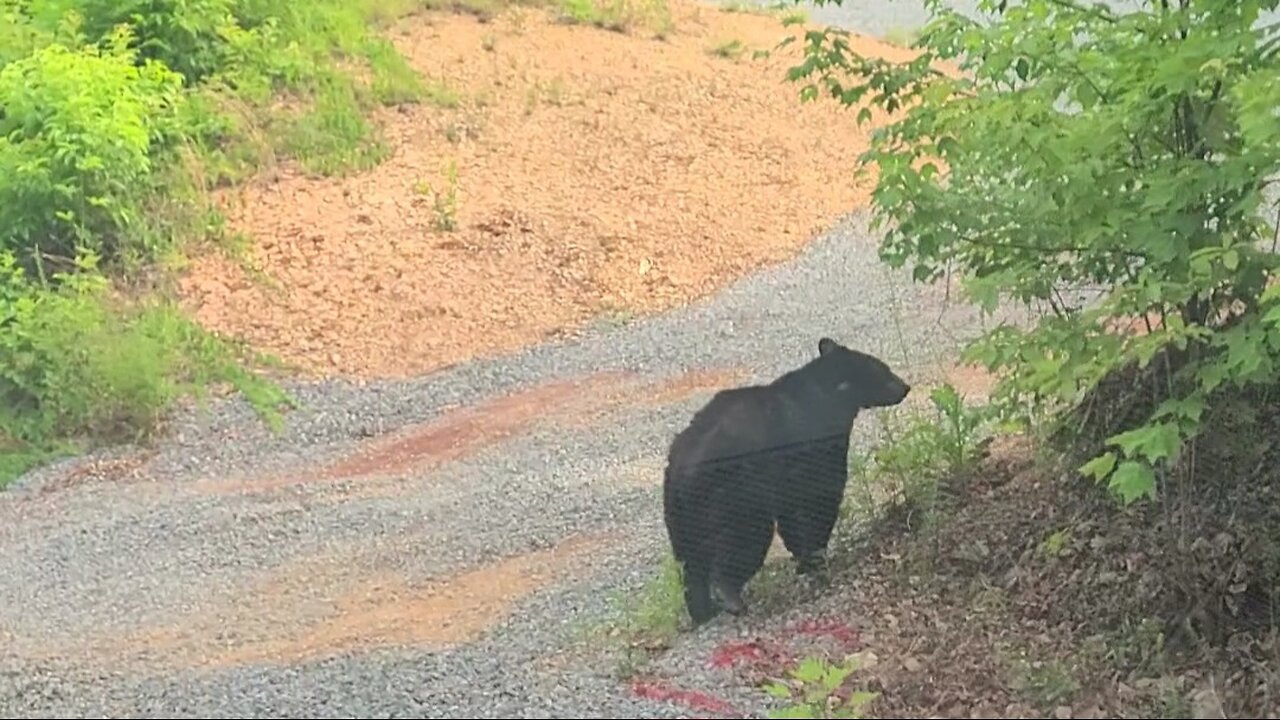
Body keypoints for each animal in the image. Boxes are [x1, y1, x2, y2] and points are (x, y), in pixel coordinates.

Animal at [660, 335, 911, 622]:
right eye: (884, 370)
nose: (905, 386)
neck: (830, 393)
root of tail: (682, 468)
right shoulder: (816, 445)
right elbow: (820, 497)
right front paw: (815, 557)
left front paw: (805, 560)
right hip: (735, 494)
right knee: (744, 537)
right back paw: (729, 596)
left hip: (681, 516)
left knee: (691, 561)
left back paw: (702, 610)